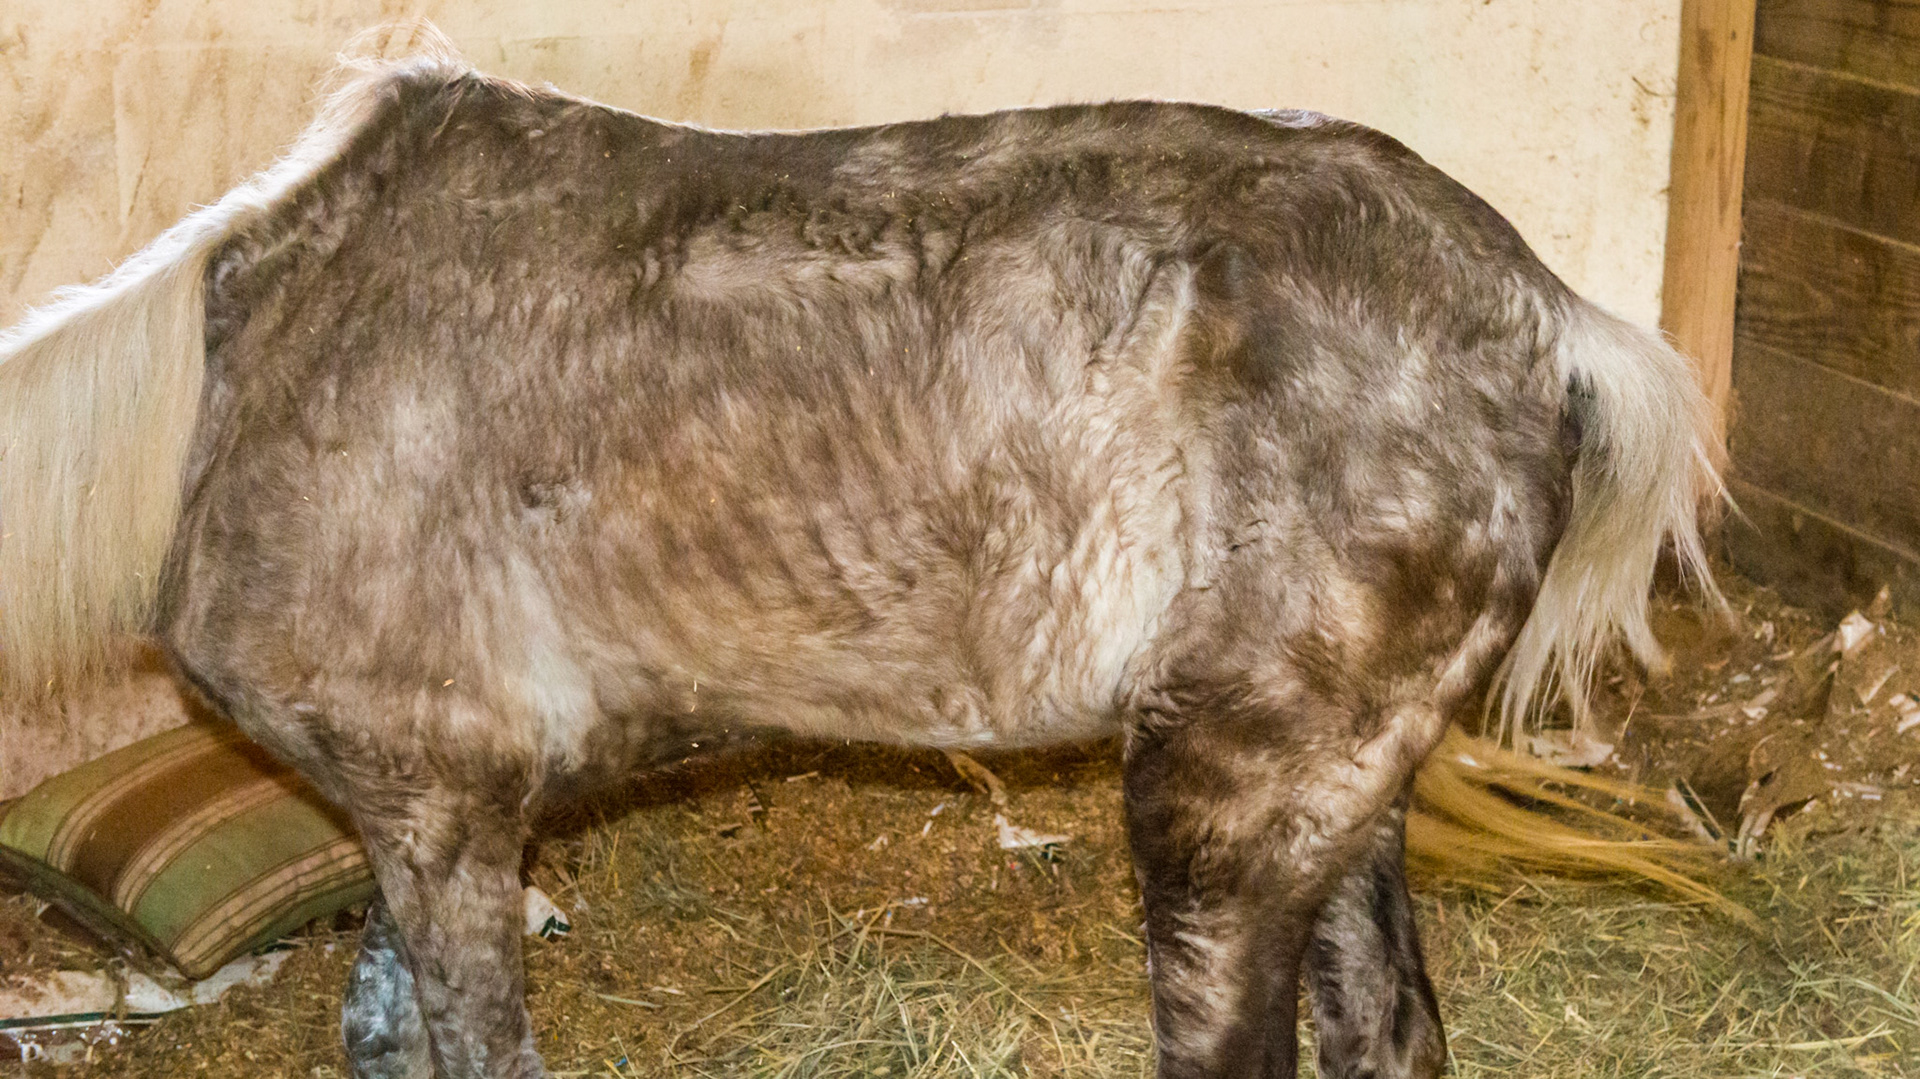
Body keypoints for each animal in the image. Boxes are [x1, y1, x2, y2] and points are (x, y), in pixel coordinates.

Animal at [0, 37, 1717, 1079]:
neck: (245, 360)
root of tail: (1547, 311)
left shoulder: (434, 800)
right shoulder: (422, 815)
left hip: (1226, 809)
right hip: (1344, 801)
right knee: (1390, 1029)